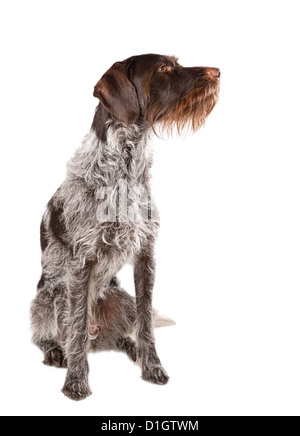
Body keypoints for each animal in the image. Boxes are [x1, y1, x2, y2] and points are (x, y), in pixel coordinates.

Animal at [30, 52, 219, 400]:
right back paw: (55, 351)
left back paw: (131, 349)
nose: (217, 72)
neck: (126, 169)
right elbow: (76, 328)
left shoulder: (146, 255)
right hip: (49, 296)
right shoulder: (81, 263)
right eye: (164, 68)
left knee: (122, 334)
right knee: (50, 334)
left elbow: (146, 323)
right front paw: (76, 381)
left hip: (120, 297)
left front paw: (151, 364)